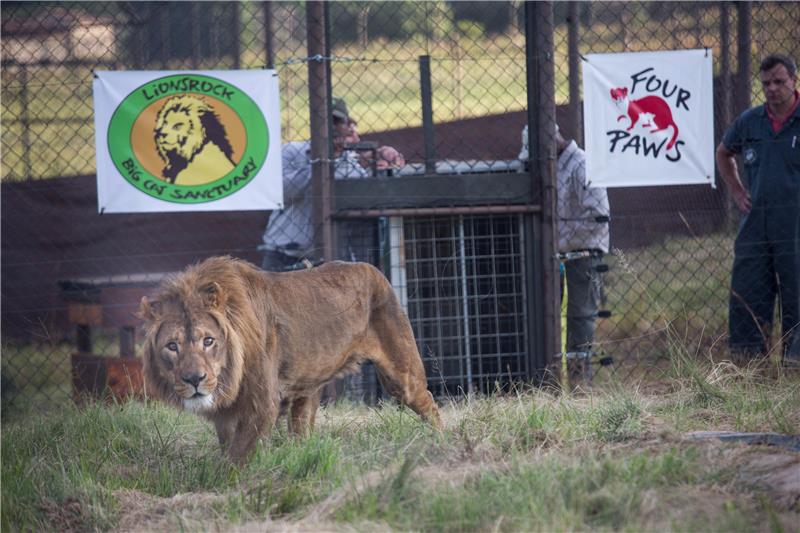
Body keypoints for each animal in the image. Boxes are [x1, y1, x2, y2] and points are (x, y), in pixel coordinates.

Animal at [139, 255, 444, 462]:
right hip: (307, 390)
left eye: (208, 340)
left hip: (402, 378)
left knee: (428, 402)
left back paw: (440, 441)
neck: (229, 376)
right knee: (302, 432)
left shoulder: (262, 404)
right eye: (172, 346)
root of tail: (370, 267)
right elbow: (229, 447)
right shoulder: (227, 415)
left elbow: (238, 457)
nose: (194, 379)